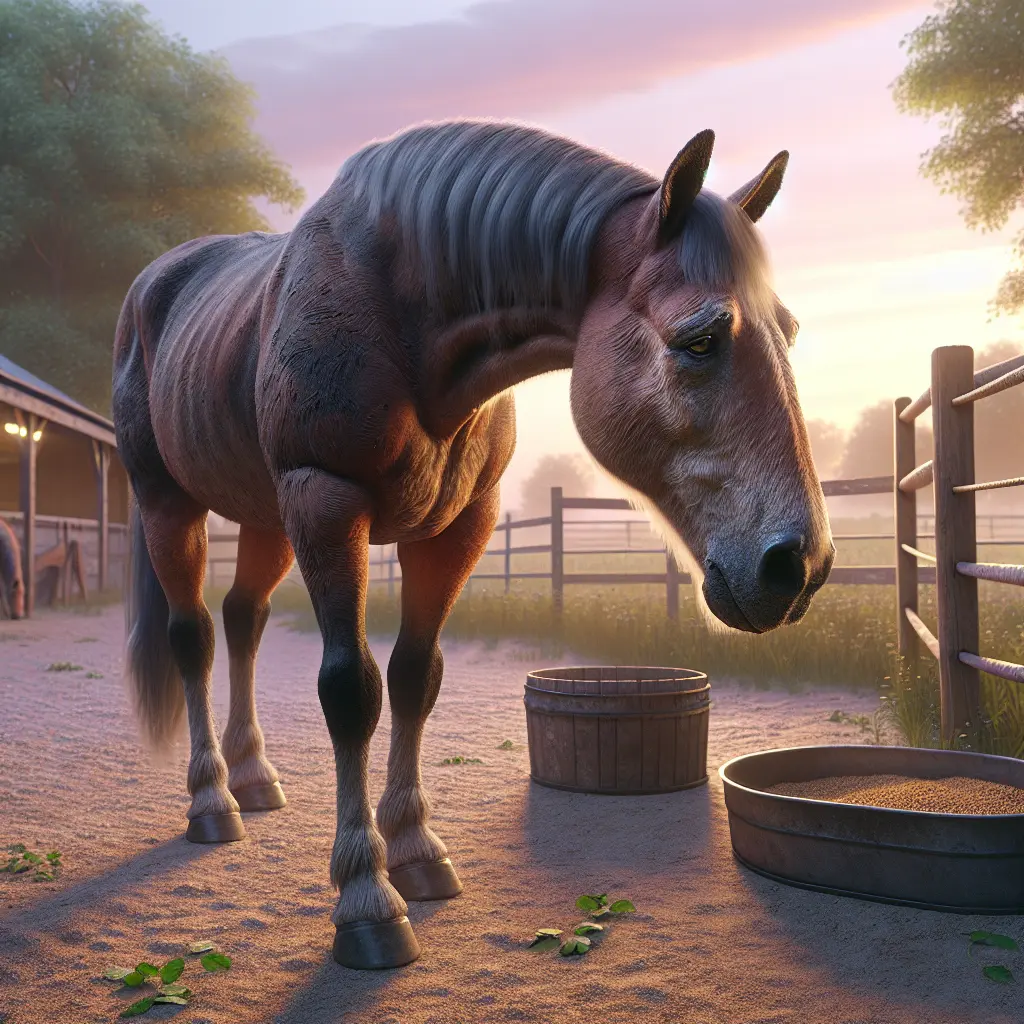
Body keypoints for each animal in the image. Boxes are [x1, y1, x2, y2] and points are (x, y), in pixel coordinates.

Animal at [112, 120, 834, 970]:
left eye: (788, 331)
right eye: (701, 340)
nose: (799, 565)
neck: (403, 315)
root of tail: (155, 281)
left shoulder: (460, 527)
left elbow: (414, 679)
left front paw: (417, 851)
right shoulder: (327, 499)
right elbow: (351, 690)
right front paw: (366, 899)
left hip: (263, 515)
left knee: (243, 621)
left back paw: (253, 777)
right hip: (173, 504)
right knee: (192, 638)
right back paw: (211, 800)